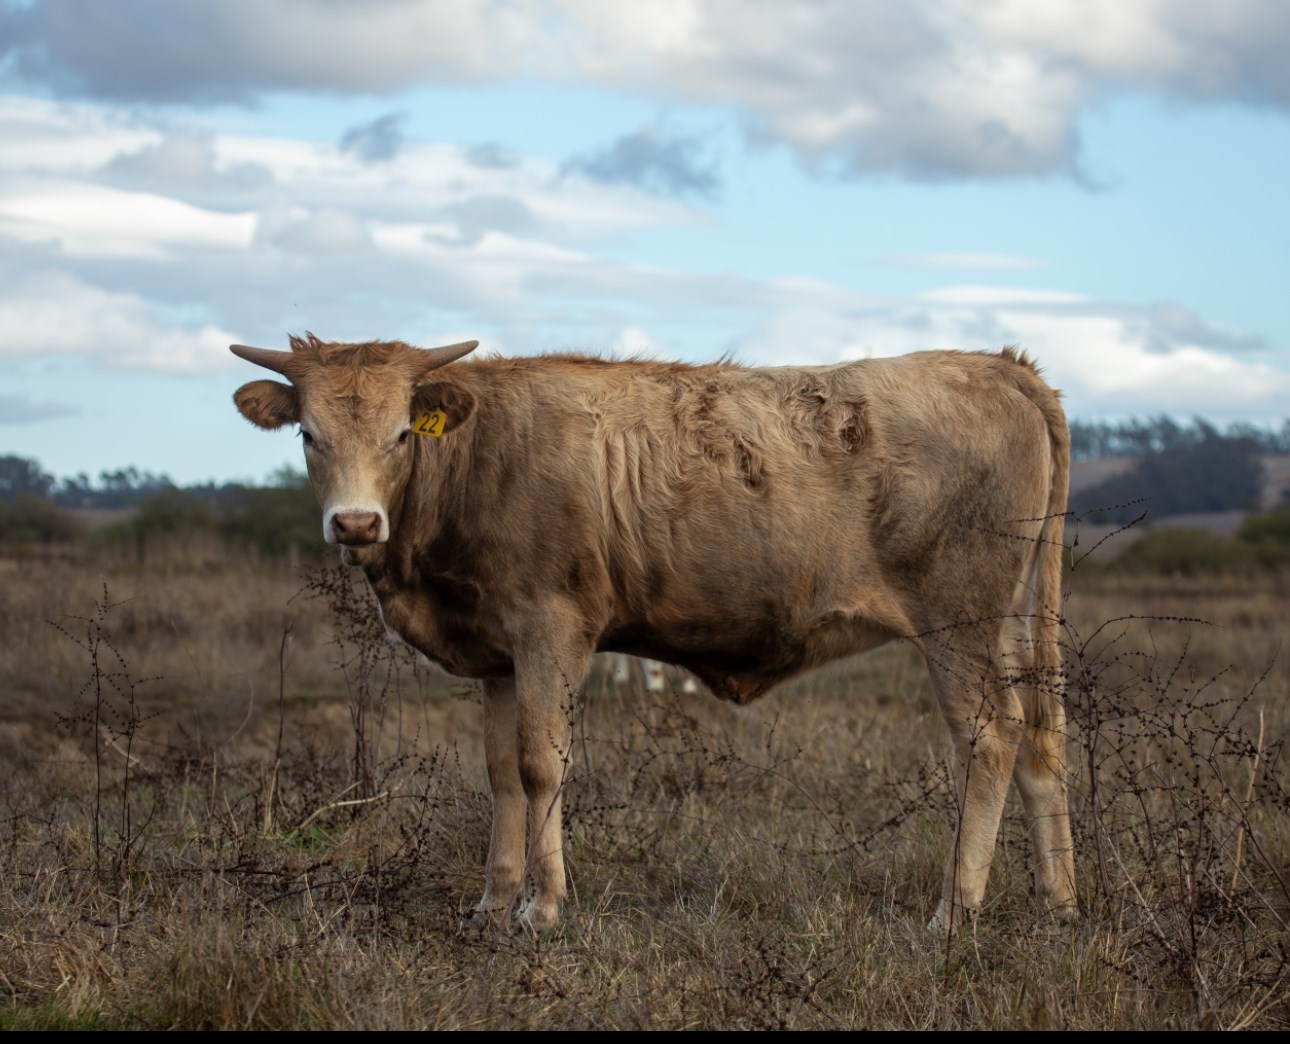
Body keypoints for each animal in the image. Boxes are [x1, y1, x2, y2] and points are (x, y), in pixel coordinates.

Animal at [231, 333, 1076, 934]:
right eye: (309, 435)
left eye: (404, 433)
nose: (355, 523)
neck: (478, 462)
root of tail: (1000, 367)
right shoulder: (498, 656)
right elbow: (502, 773)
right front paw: (490, 905)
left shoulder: (550, 629)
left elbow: (541, 765)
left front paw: (541, 907)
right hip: (1015, 625)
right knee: (1041, 741)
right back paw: (1057, 904)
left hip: (960, 623)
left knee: (991, 740)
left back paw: (952, 913)